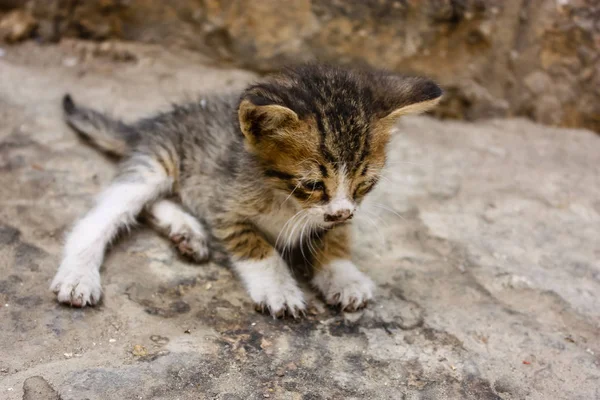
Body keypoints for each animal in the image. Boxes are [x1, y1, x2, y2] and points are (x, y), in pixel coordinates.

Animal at [51, 64, 442, 318]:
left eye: (365, 184)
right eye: (312, 185)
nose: (343, 212)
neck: (286, 200)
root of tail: (150, 124)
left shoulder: (335, 214)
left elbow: (335, 237)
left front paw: (344, 275)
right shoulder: (225, 207)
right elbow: (257, 247)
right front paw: (279, 288)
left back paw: (186, 232)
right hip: (157, 164)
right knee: (103, 215)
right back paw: (78, 276)